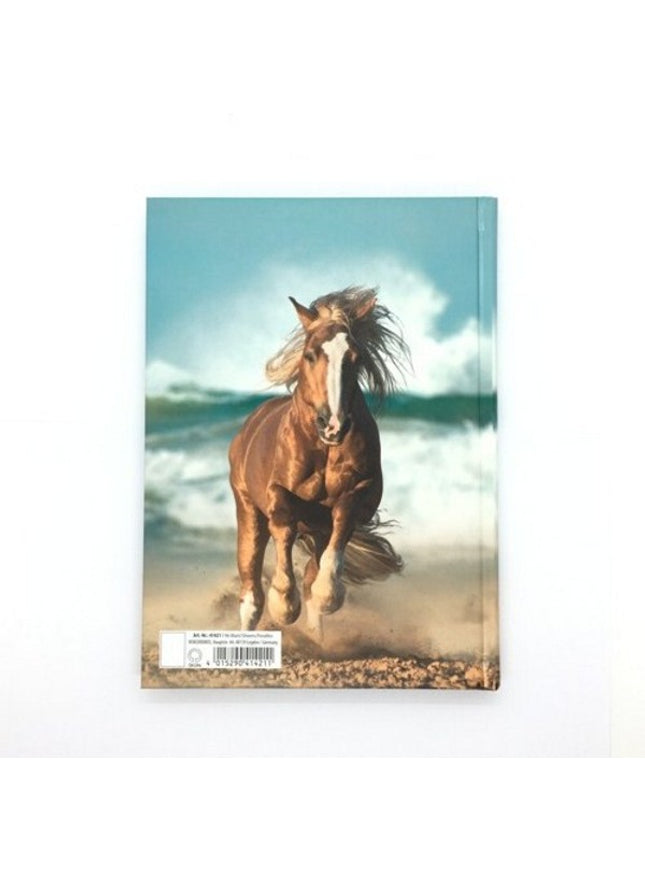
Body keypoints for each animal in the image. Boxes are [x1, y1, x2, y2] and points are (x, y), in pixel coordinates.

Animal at [228, 286, 408, 636]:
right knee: (251, 593)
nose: (333, 425)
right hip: (248, 512)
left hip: (315, 530)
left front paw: (327, 595)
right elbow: (283, 526)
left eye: (355, 357)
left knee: (313, 571)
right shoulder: (277, 494)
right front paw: (284, 604)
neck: (322, 450)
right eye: (310, 354)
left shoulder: (358, 496)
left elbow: (340, 528)